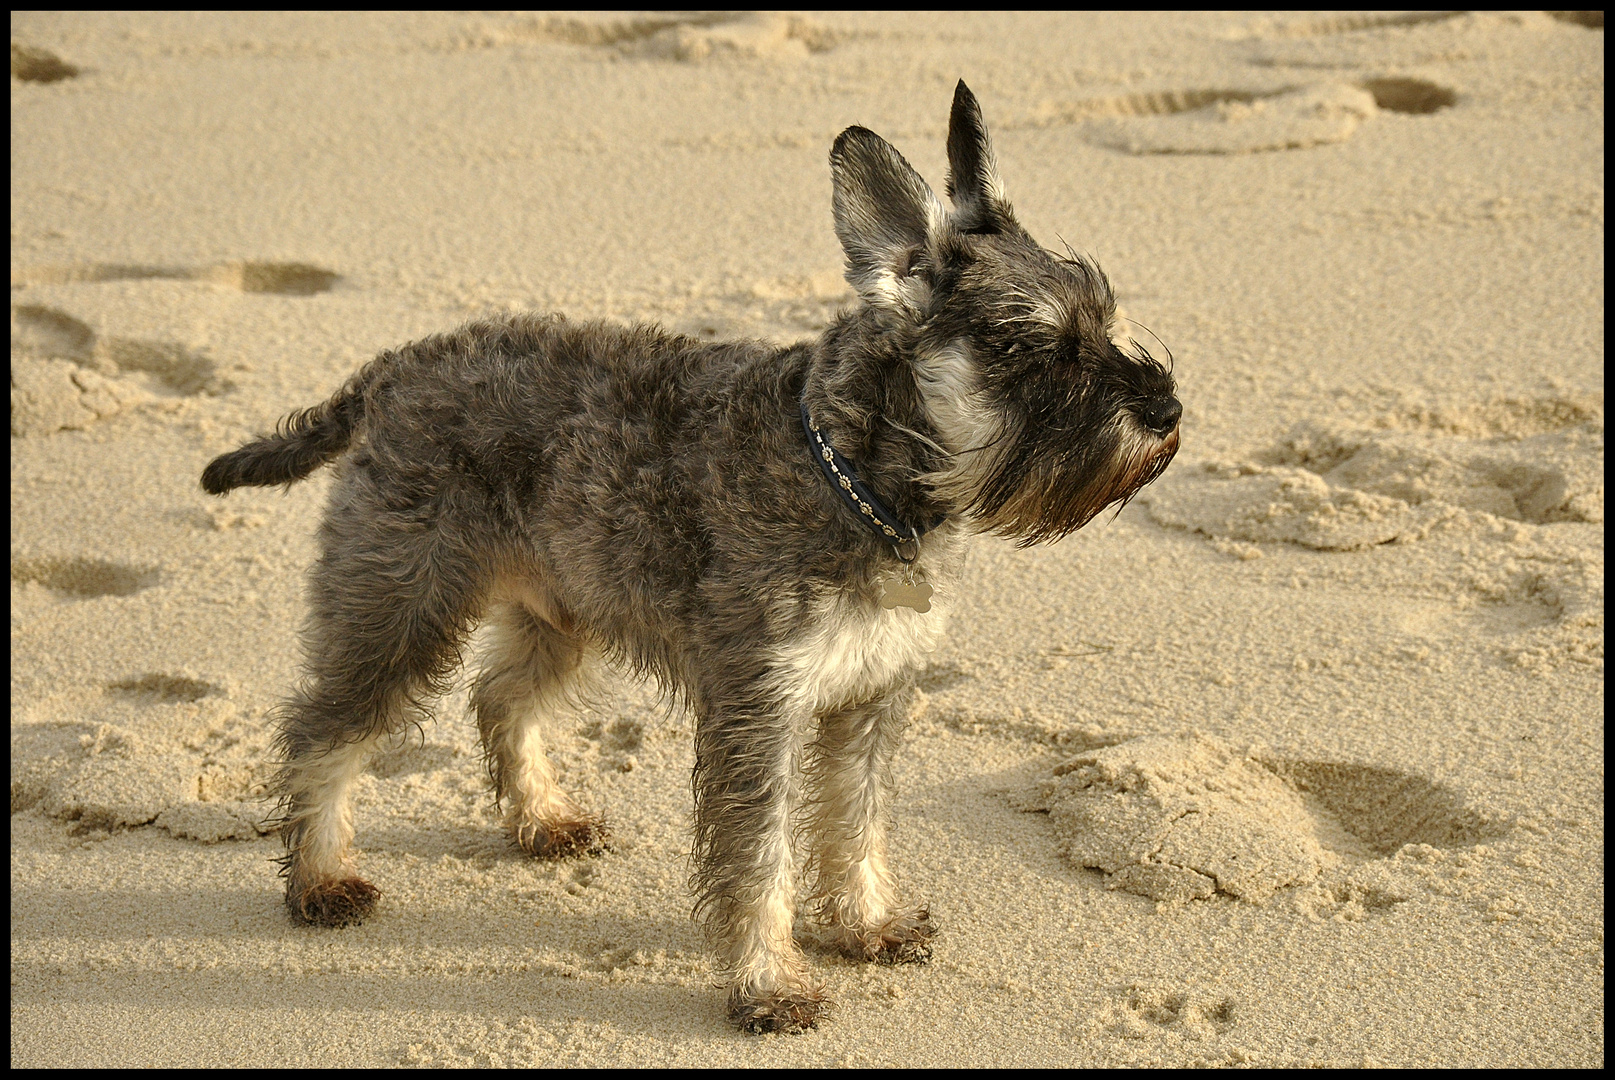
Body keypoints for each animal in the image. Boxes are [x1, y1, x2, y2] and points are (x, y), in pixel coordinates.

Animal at [205, 82, 1188, 1026]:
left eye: (1104, 320)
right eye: (1031, 347)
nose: (1166, 409)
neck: (853, 476)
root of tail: (389, 372)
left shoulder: (869, 698)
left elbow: (854, 823)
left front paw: (865, 925)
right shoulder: (759, 711)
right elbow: (759, 859)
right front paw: (770, 986)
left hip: (563, 605)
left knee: (501, 697)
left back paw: (543, 821)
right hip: (401, 607)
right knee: (323, 733)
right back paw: (321, 878)